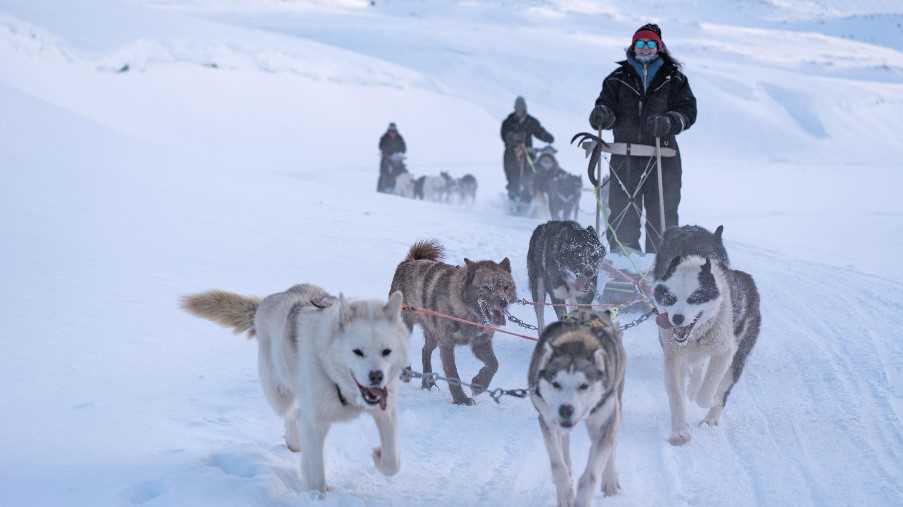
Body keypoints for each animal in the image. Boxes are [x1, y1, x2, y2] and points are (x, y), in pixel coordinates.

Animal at [179, 284, 410, 490]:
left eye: (386, 351)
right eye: (358, 352)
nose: (376, 376)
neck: (338, 382)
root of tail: (268, 301)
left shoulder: (385, 411)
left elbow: (393, 462)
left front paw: (379, 457)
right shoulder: (314, 423)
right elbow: (316, 476)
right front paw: (318, 496)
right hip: (278, 392)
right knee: (290, 414)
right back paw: (294, 441)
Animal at [390, 241, 516, 404]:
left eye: (506, 287)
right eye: (487, 287)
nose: (503, 302)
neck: (468, 314)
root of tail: (409, 261)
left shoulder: (481, 344)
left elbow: (494, 364)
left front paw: (479, 385)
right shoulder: (447, 344)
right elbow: (453, 374)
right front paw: (461, 399)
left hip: (433, 336)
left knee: (425, 351)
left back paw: (428, 382)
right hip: (406, 328)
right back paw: (406, 373)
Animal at [528, 310, 628, 507]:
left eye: (584, 386)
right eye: (556, 384)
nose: (566, 409)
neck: (576, 343)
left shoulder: (604, 422)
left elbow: (591, 475)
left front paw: (582, 499)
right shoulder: (547, 420)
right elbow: (558, 464)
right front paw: (565, 492)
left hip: (614, 408)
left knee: (611, 443)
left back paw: (610, 479)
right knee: (564, 442)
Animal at [652, 225, 760, 444]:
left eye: (695, 298)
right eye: (670, 298)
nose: (677, 318)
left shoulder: (725, 352)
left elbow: (710, 386)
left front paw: (707, 399)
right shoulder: (673, 357)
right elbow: (676, 395)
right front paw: (679, 431)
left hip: (739, 354)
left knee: (723, 386)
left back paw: (710, 417)